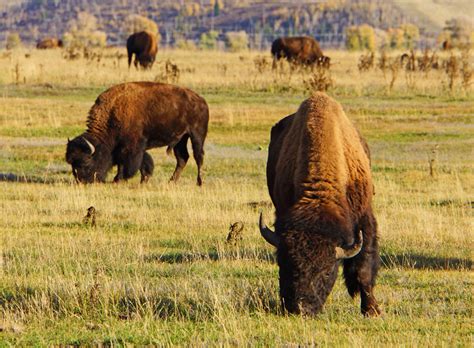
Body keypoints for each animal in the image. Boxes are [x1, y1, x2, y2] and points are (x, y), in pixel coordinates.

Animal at [65, 81, 208, 185]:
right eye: (72, 164)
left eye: (86, 161)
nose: (82, 181)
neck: (113, 112)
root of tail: (201, 100)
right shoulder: (134, 146)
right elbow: (142, 162)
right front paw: (144, 179)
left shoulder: (131, 146)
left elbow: (127, 163)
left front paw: (118, 179)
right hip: (181, 139)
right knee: (182, 158)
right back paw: (171, 181)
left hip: (196, 135)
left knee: (198, 157)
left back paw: (199, 182)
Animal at [260, 94, 382, 316]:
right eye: (283, 264)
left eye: (327, 271)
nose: (300, 308)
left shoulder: (364, 218)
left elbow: (364, 267)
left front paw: (371, 310)